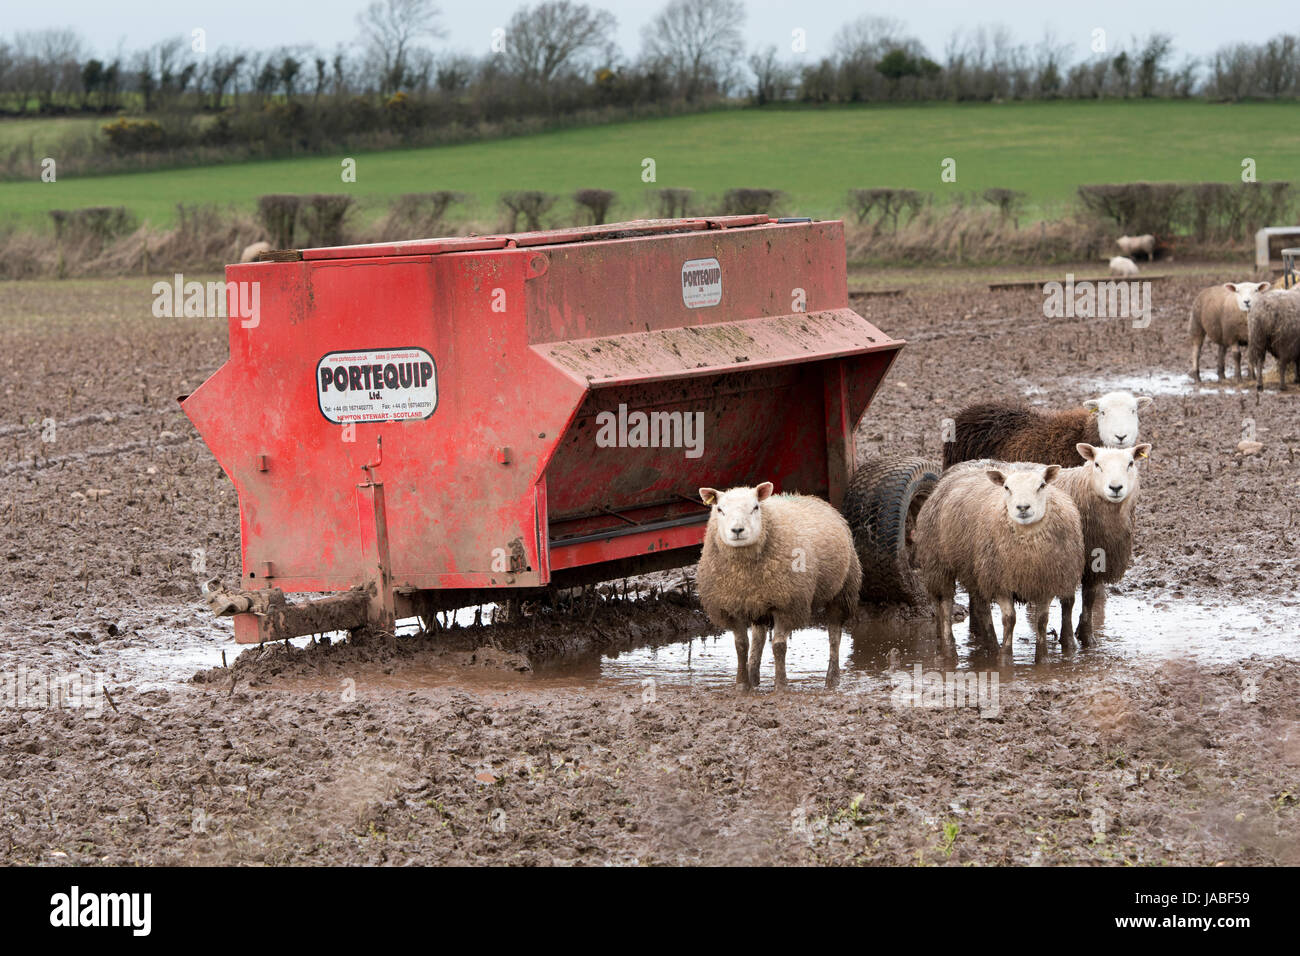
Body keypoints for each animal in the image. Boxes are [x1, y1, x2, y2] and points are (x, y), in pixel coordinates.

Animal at [696, 482, 861, 691]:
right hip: (758, 602)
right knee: (758, 638)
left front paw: (781, 685)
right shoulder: (731, 606)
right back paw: (754, 677)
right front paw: (742, 684)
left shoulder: (787, 604)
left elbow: (779, 646)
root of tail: (810, 497)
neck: (743, 574)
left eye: (755, 507)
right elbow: (741, 645)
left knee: (834, 636)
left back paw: (832, 680)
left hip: (843, 590)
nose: (737, 530)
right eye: (719, 509)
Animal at [915, 462, 1083, 658]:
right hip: (938, 563)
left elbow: (1042, 620)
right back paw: (949, 644)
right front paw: (1006, 656)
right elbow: (1009, 619)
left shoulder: (1045, 582)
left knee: (981, 608)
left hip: (976, 570)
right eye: (1007, 487)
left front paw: (1042, 657)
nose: (1023, 507)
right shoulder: (1001, 581)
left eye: (1041, 485)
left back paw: (991, 644)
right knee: (944, 603)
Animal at [1045, 442, 1150, 648]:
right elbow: (1068, 600)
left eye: (1131, 463)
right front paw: (1068, 641)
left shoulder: (1096, 559)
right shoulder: (1067, 559)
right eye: (1097, 464)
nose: (1115, 487)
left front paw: (1087, 638)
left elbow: (1089, 598)